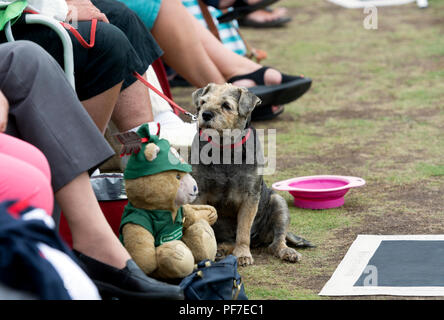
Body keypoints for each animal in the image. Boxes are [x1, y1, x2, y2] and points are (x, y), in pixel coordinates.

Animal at [190, 82, 312, 264]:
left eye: (226, 105)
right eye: (203, 102)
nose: (205, 114)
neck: (225, 150)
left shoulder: (250, 196)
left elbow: (243, 230)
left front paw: (242, 254)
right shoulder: (200, 194)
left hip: (278, 203)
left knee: (276, 242)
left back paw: (286, 251)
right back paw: (221, 250)